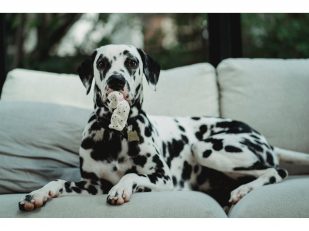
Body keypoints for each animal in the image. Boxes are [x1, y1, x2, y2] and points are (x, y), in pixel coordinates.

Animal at [18, 44, 306, 212]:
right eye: (101, 63)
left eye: (132, 62)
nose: (116, 80)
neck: (115, 134)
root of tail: (264, 139)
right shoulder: (92, 185)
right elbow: (58, 182)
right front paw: (37, 194)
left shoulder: (163, 179)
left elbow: (131, 176)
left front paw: (121, 188)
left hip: (206, 148)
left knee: (276, 170)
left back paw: (242, 190)